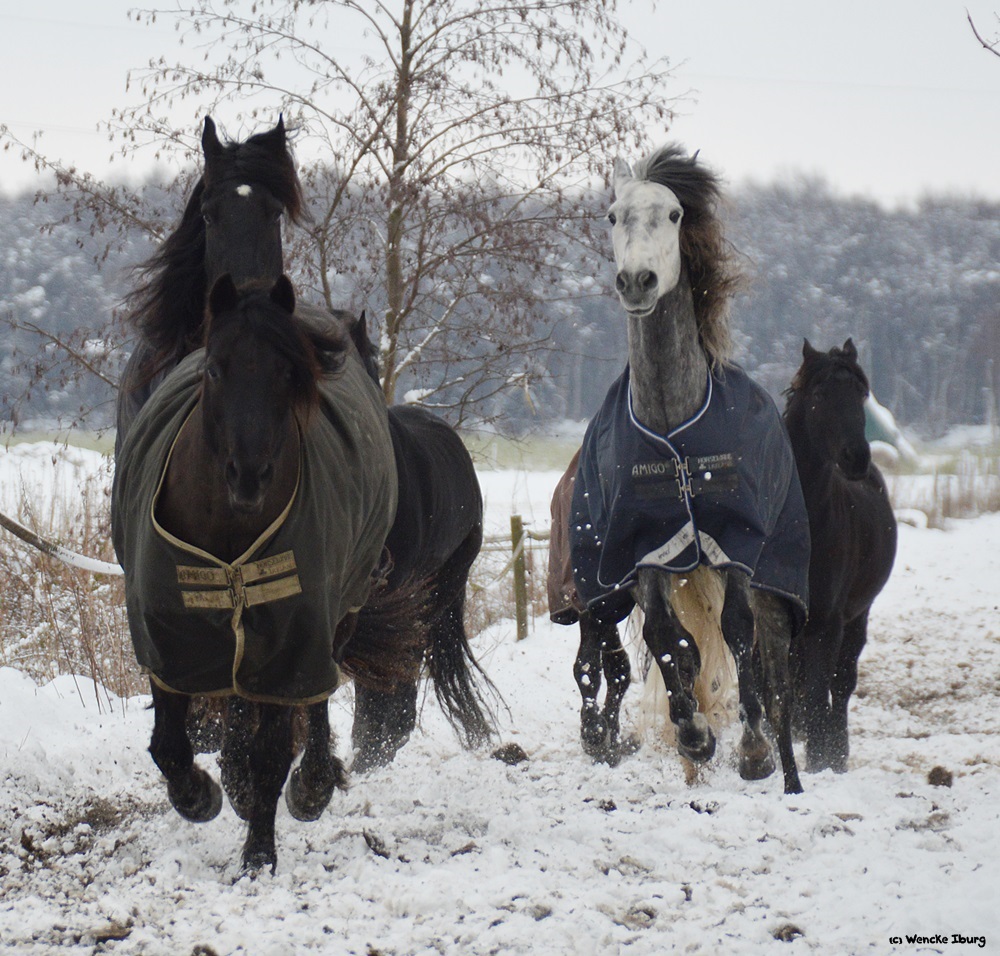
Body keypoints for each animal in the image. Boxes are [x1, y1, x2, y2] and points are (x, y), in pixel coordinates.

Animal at [788, 340, 900, 772]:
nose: (858, 457)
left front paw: (820, 761)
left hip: (857, 616)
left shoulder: (826, 621)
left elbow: (820, 694)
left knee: (841, 682)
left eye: (861, 394)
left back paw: (837, 755)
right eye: (820, 394)